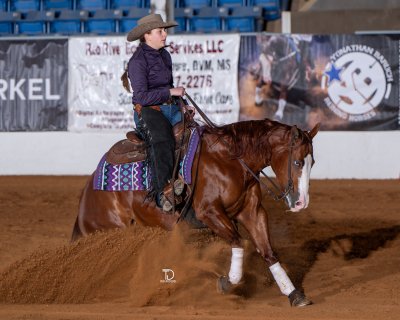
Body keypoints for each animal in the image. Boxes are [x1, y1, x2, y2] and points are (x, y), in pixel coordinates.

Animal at [72, 118, 320, 308]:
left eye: (313, 162)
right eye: (297, 162)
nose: (301, 203)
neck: (230, 161)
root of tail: (88, 190)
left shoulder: (253, 212)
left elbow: (268, 251)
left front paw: (293, 293)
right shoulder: (209, 213)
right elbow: (238, 241)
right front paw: (227, 282)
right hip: (105, 231)